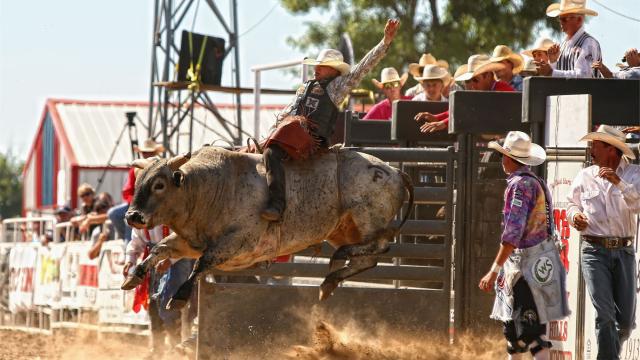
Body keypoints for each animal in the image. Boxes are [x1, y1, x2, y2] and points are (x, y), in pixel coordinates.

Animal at [122, 145, 412, 308]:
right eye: (138, 182)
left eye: (159, 185)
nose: (133, 216)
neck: (212, 188)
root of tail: (395, 171)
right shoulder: (190, 242)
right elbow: (159, 249)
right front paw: (133, 275)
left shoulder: (238, 242)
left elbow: (202, 263)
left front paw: (180, 296)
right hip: (342, 229)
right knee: (368, 259)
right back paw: (329, 282)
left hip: (366, 217)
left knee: (380, 246)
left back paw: (339, 260)